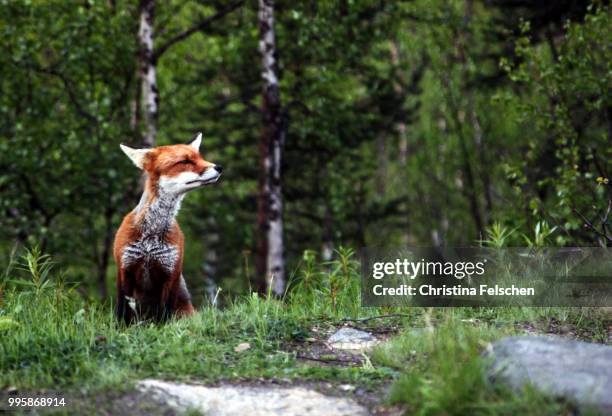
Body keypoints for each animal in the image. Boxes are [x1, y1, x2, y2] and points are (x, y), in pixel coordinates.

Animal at [113, 132, 222, 324]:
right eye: (185, 161)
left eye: (200, 158)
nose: (219, 167)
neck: (150, 238)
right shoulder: (125, 268)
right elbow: (122, 312)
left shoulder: (171, 271)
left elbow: (165, 315)